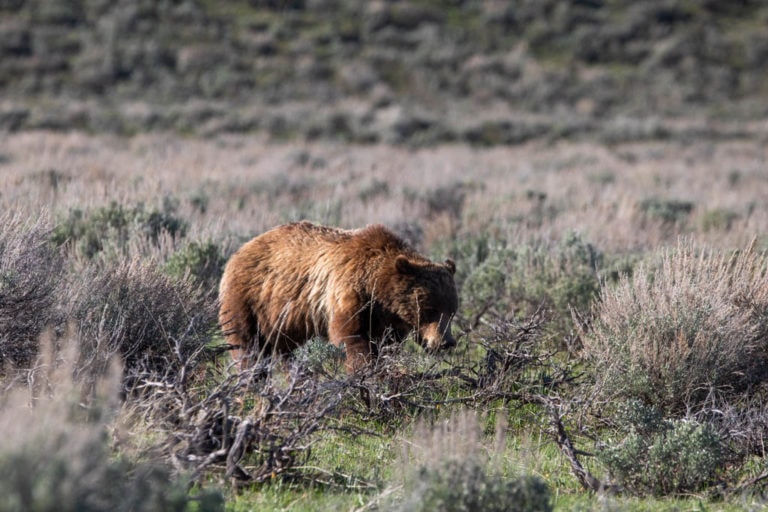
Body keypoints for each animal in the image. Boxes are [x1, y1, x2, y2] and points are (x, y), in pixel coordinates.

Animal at [218, 220, 456, 372]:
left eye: (452, 311)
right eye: (429, 309)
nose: (446, 342)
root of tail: (238, 252)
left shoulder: (386, 320)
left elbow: (387, 345)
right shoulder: (349, 295)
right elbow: (353, 338)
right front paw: (365, 372)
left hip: (281, 319)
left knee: (284, 350)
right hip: (248, 301)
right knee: (248, 347)